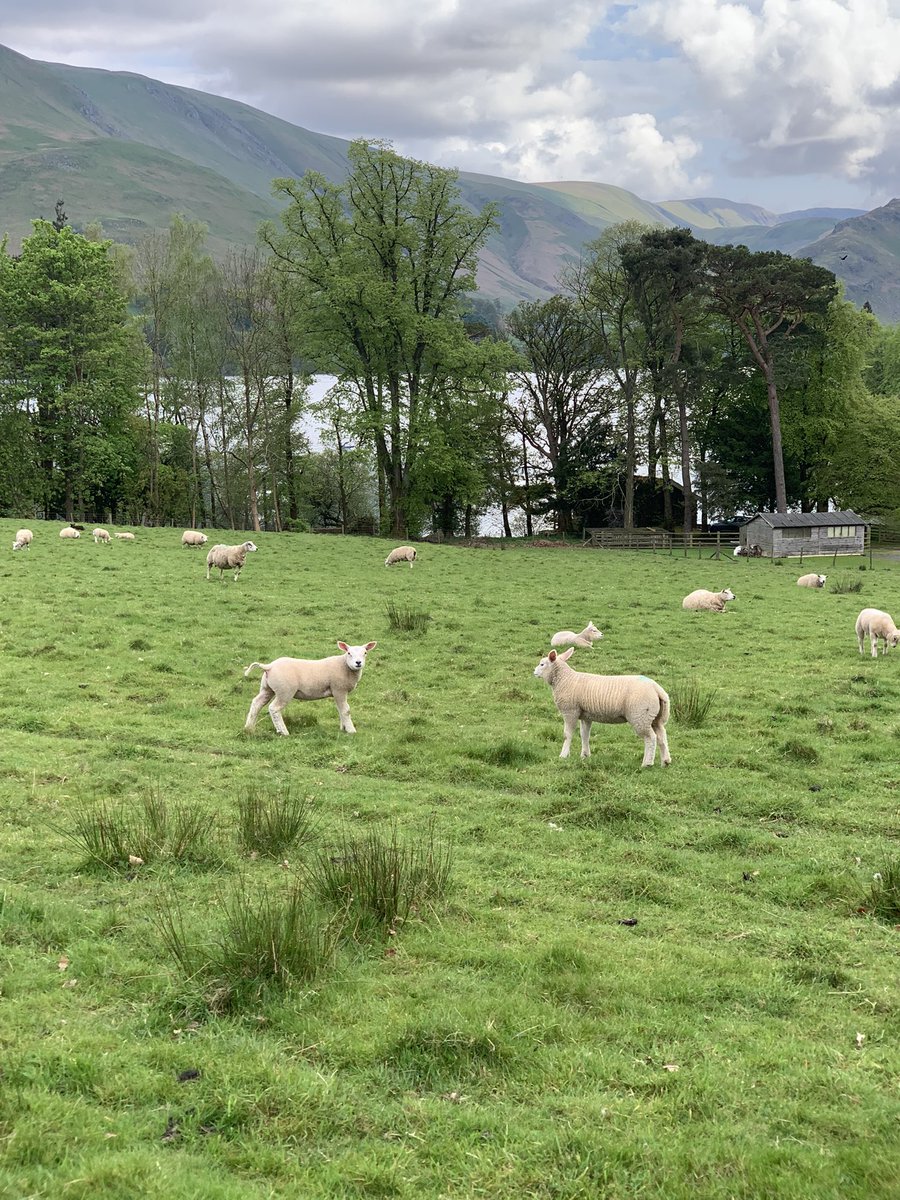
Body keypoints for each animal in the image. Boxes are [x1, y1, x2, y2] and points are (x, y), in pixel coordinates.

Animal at [243, 643, 376, 734]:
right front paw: (351, 730)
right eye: (349, 653)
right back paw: (283, 732)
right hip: (285, 691)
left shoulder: (338, 692)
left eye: (365, 653)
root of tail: (269, 666)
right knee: (274, 709)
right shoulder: (339, 689)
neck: (344, 665)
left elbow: (340, 710)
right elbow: (346, 710)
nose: (358, 663)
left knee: (256, 703)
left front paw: (343, 728)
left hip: (267, 688)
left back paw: (249, 728)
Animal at [535, 648, 672, 768]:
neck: (565, 680)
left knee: (651, 738)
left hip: (640, 716)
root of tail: (657, 689)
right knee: (662, 736)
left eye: (542, 664)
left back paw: (647, 763)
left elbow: (567, 735)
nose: (534, 672)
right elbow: (584, 735)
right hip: (655, 717)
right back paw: (665, 761)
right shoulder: (586, 715)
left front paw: (563, 755)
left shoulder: (570, 712)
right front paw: (585, 755)